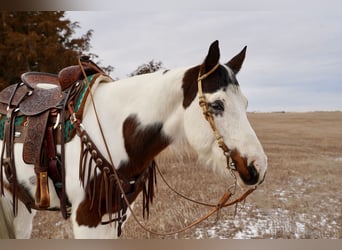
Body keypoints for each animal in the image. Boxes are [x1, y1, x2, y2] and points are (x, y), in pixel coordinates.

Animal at [0, 40, 268, 238]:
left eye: (245, 104)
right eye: (217, 104)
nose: (258, 167)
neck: (115, 130)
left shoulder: (115, 215)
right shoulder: (86, 217)